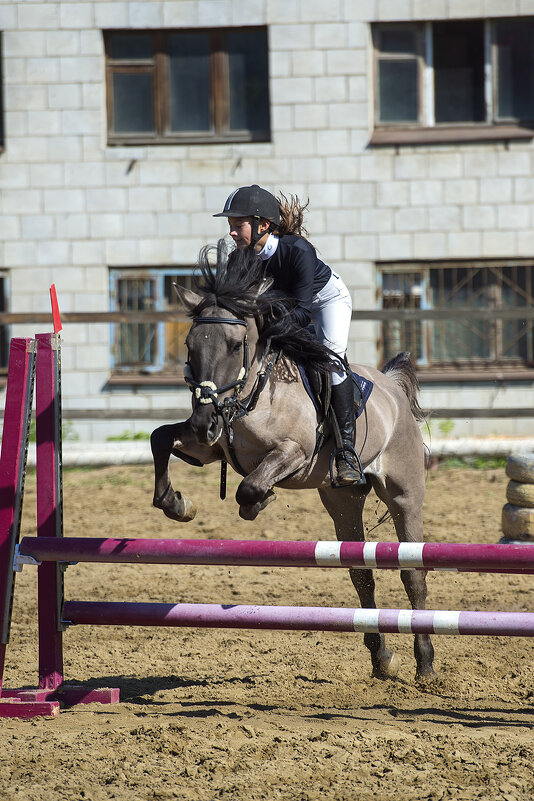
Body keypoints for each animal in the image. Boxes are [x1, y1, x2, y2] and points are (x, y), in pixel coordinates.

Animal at [151, 244, 436, 680]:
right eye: (190, 346)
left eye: (235, 345)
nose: (203, 422)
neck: (254, 392)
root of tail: (392, 388)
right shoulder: (210, 447)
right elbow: (160, 437)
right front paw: (177, 504)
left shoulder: (295, 453)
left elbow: (250, 484)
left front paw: (257, 502)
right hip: (342, 501)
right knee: (361, 574)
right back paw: (382, 658)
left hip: (404, 494)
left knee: (412, 571)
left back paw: (424, 664)